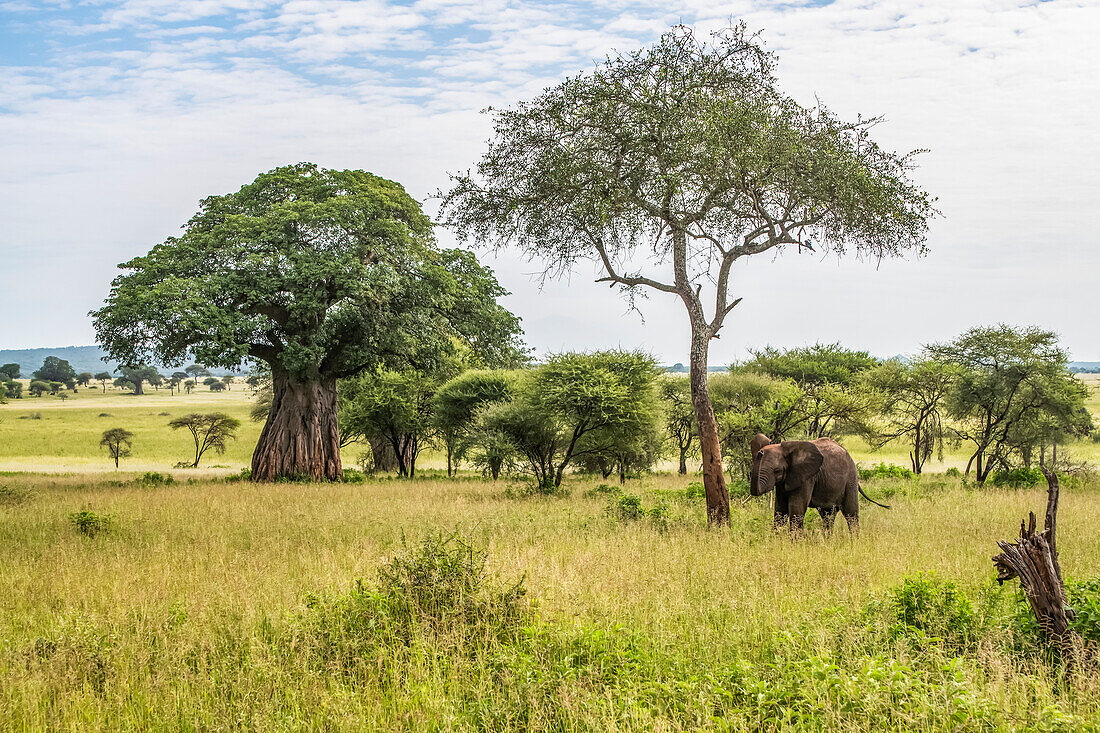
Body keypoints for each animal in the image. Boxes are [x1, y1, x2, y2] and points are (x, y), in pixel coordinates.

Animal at [743, 431, 888, 534]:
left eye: (777, 471)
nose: (761, 451)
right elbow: (780, 509)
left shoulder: (807, 477)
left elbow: (797, 508)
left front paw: (794, 546)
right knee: (828, 516)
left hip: (850, 479)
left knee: (851, 514)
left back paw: (854, 542)